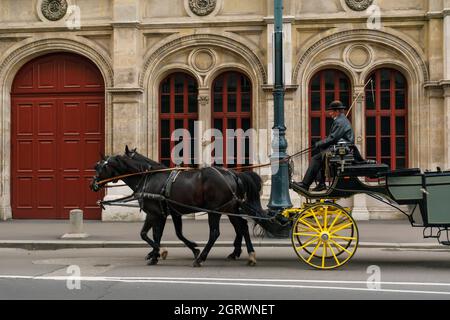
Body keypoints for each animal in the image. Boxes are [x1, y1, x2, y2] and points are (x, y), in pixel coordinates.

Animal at [91, 146, 268, 266]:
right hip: (229, 208)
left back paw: (202, 258)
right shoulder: (168, 213)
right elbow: (170, 234)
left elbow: (146, 234)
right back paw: (248, 254)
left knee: (215, 233)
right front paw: (157, 254)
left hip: (215, 211)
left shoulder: (154, 213)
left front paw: (159, 252)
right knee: (242, 226)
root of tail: (232, 174)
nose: (92, 184)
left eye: (101, 166)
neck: (149, 177)